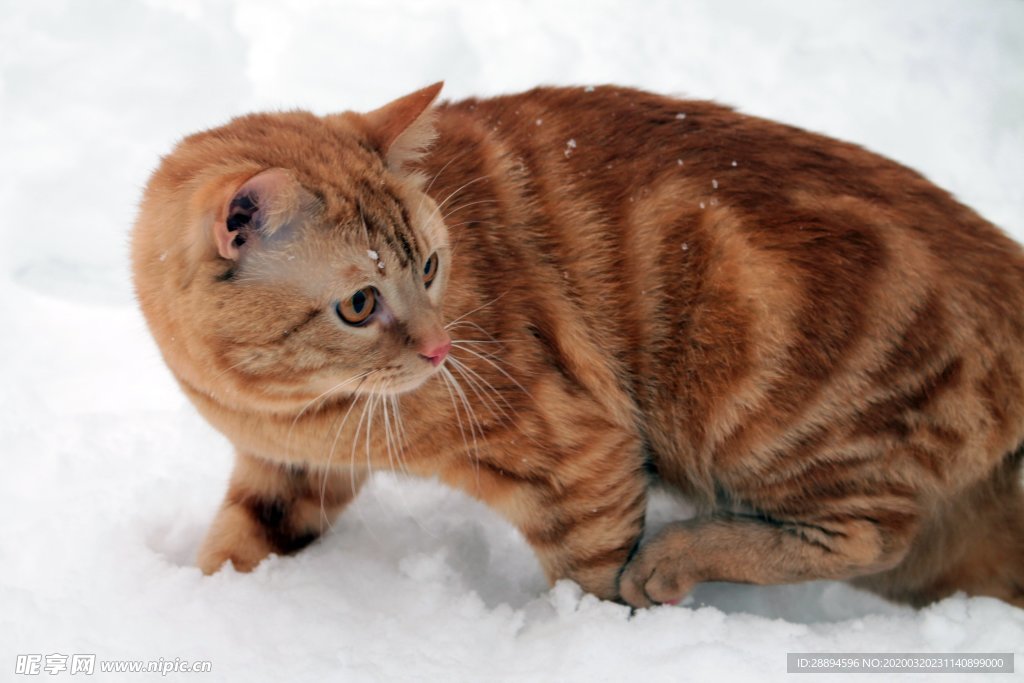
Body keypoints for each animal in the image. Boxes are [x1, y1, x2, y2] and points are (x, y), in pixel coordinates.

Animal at [134, 80, 1024, 610]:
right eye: (360, 303)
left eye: (431, 266)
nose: (442, 351)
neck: (285, 404)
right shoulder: (289, 471)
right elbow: (240, 542)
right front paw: (202, 610)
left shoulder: (581, 457)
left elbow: (594, 582)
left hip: (775, 419)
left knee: (870, 536)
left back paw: (679, 555)